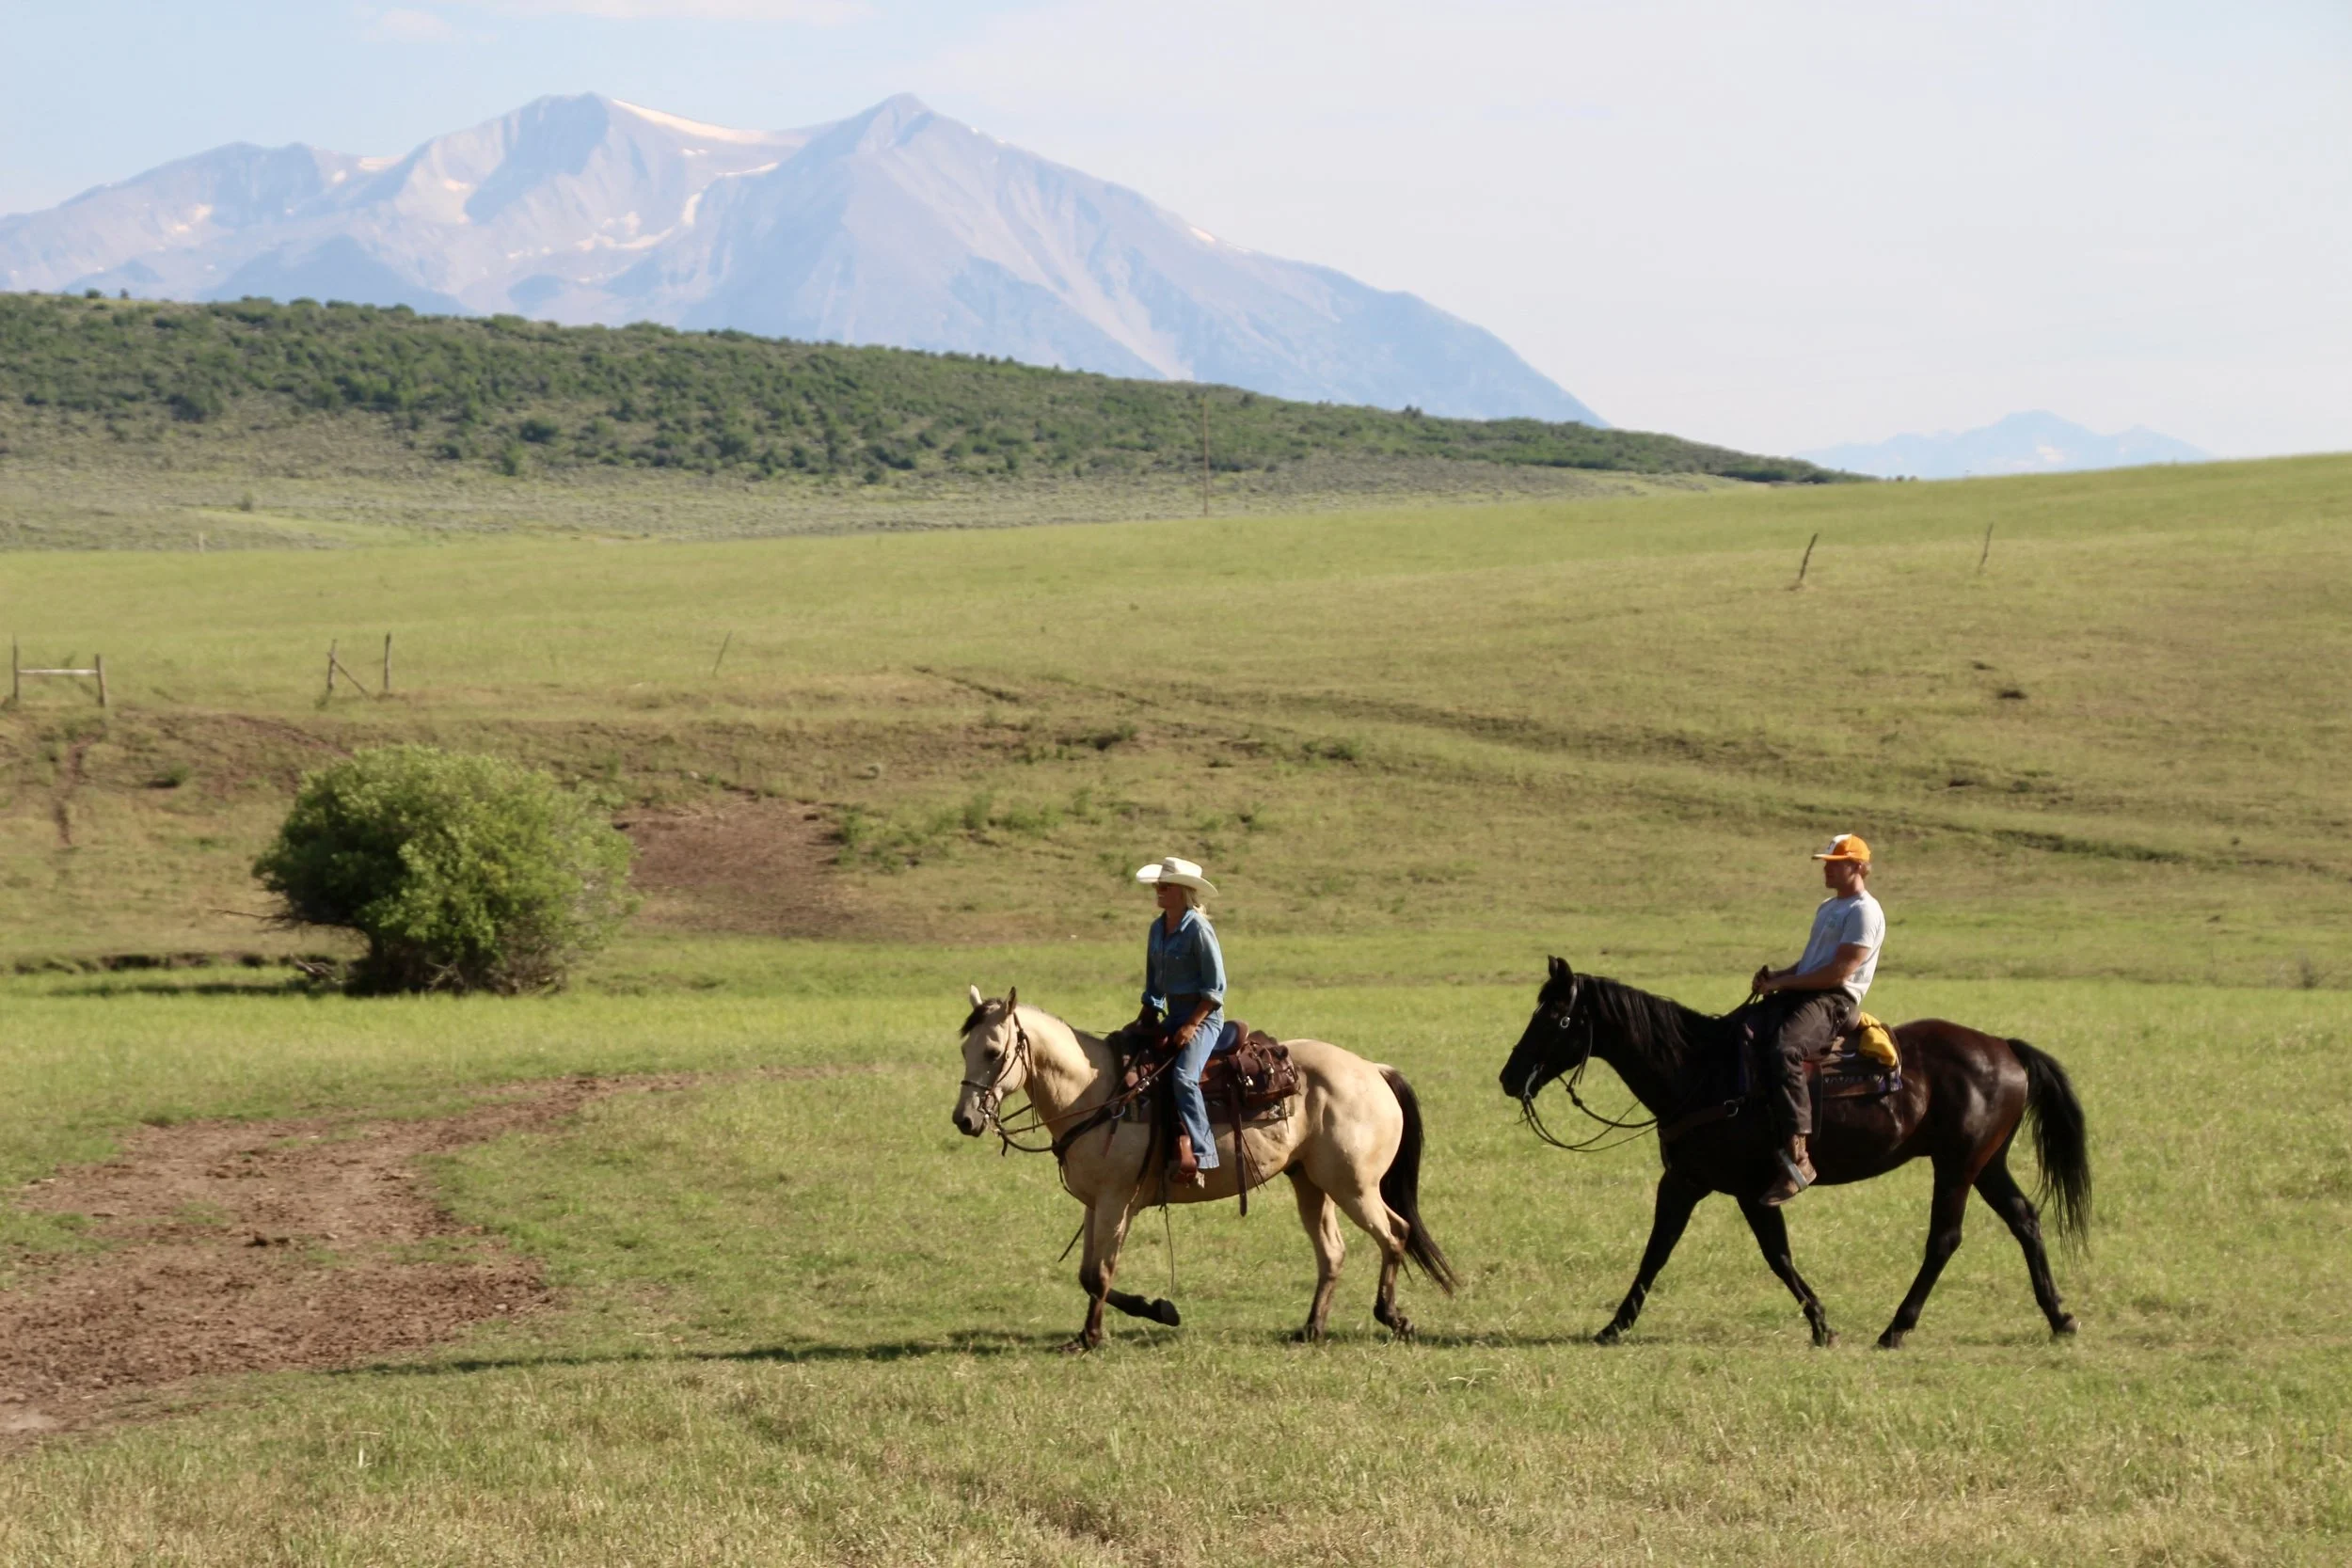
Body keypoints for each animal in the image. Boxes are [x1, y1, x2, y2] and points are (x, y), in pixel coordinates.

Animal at [951, 986, 1455, 1350]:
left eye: (993, 1052)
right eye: (964, 1051)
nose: (965, 1119)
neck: (1097, 1090)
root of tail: (1373, 1069)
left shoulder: (1117, 1201)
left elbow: (1100, 1273)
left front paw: (1126, 1324)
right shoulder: (1096, 1203)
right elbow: (1089, 1273)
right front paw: (1100, 1330)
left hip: (1354, 1186)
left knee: (1395, 1234)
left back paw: (1393, 1317)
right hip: (1312, 1183)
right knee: (1333, 1252)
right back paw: (1311, 1329)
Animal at [1497, 957, 2090, 1349]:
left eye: (1556, 1019)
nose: (1508, 1077)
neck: (1701, 1071)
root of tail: (2005, 1047)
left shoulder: (1751, 1189)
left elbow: (1776, 1256)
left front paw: (1823, 1325)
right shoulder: (1685, 1180)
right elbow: (1657, 1251)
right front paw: (1614, 1326)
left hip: (1956, 1165)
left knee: (1944, 1238)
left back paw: (1896, 1328)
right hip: (1985, 1163)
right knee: (2025, 1219)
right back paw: (2059, 1317)